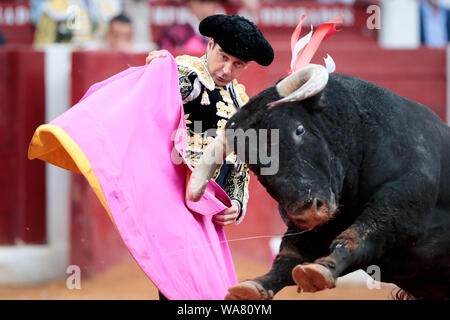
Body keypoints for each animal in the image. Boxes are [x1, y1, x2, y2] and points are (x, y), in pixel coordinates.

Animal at [185, 65, 450, 300]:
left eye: (299, 129)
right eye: (251, 162)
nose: (306, 211)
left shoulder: (401, 206)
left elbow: (361, 234)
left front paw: (321, 270)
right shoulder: (312, 228)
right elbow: (289, 257)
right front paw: (253, 286)